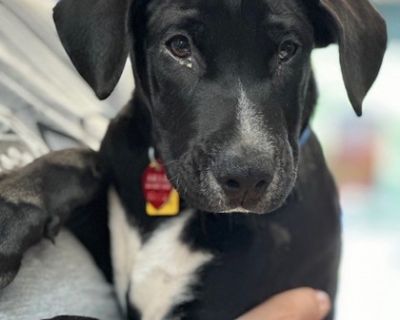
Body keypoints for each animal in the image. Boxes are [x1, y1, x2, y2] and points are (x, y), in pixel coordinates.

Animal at [0, 0, 388, 320]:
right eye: (179, 46)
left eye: (287, 50)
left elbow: (69, 317)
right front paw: (12, 210)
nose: (247, 179)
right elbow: (81, 157)